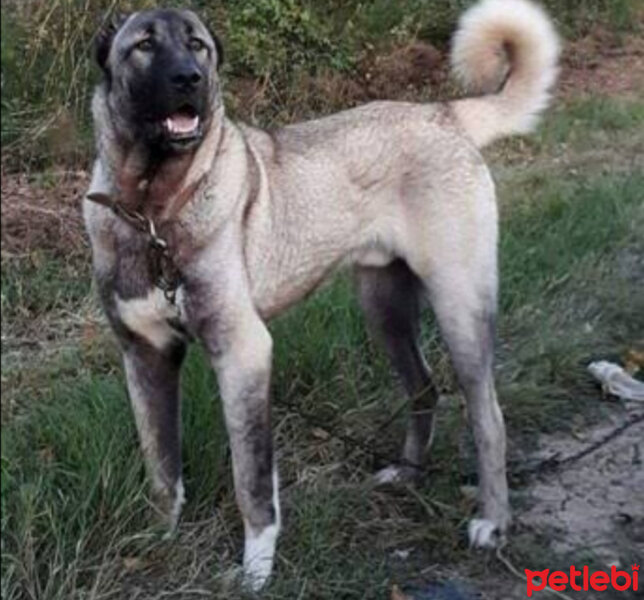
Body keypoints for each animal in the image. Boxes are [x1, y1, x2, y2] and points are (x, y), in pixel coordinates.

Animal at [84, 0, 560, 592]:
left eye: (197, 46)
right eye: (144, 44)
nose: (189, 79)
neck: (153, 209)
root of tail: (443, 114)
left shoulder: (243, 355)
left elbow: (252, 479)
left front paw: (256, 571)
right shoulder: (145, 358)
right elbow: (162, 470)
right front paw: (160, 541)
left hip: (460, 309)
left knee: (488, 416)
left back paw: (491, 520)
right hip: (384, 310)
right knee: (423, 388)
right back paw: (407, 475)